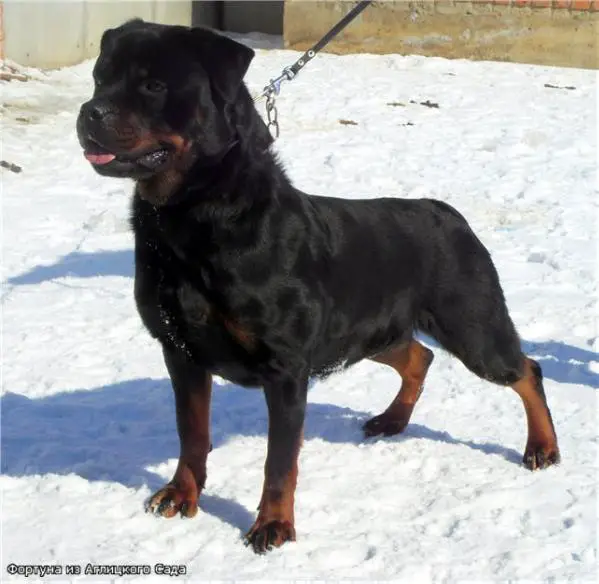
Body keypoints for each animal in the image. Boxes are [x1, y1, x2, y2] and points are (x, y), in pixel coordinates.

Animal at [77, 19, 560, 553]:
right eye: (100, 78)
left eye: (154, 85)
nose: (90, 112)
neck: (197, 215)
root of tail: (446, 212)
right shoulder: (181, 351)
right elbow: (192, 433)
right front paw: (182, 494)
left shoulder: (287, 368)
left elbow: (279, 461)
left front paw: (273, 525)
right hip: (368, 332)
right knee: (419, 356)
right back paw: (393, 420)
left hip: (471, 327)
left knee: (525, 370)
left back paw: (542, 446)